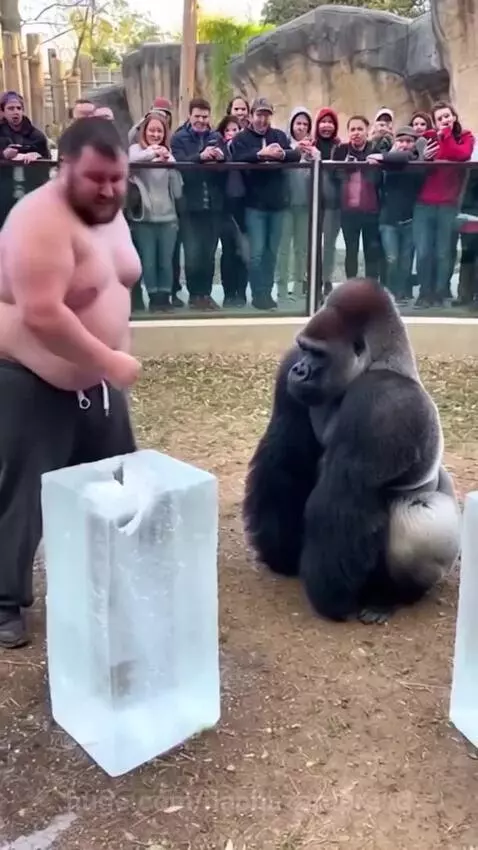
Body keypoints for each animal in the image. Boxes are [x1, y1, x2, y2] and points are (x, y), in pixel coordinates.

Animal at [243, 278, 461, 623]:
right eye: (303, 347)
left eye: (319, 353)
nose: (300, 370)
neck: (375, 362)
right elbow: (283, 462)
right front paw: (280, 551)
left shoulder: (382, 403)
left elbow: (341, 501)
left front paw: (331, 598)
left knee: (419, 519)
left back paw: (392, 597)